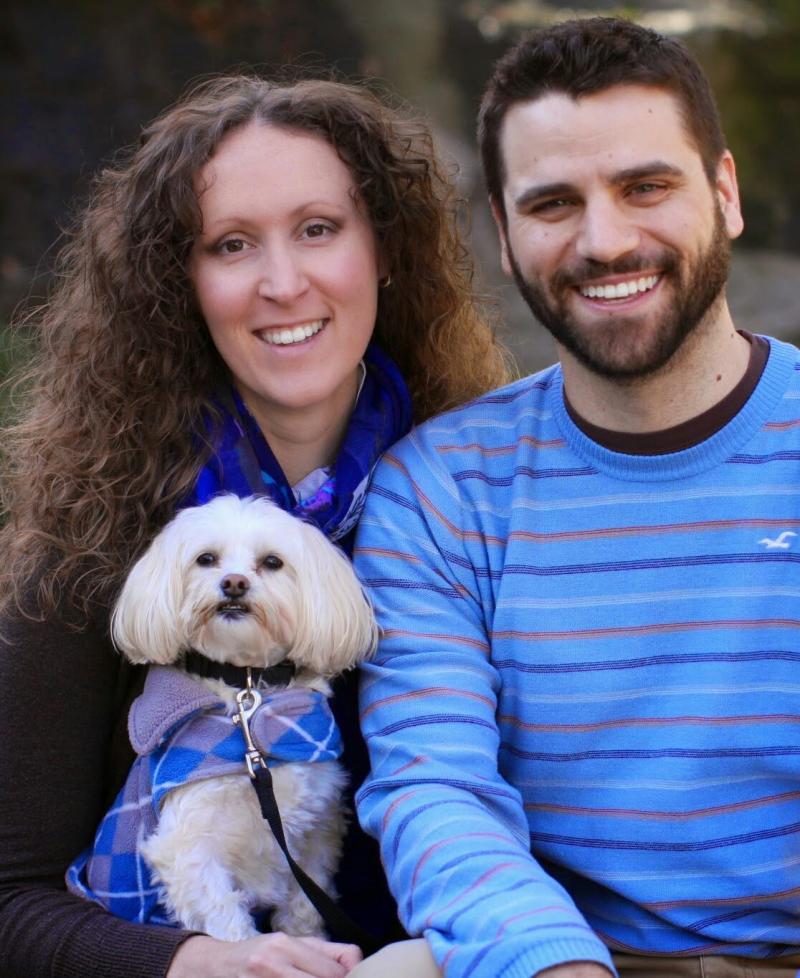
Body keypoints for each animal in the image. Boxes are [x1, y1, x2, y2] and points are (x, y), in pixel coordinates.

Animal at [83, 496, 380, 936]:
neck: (247, 689)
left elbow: (305, 909)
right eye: (206, 558)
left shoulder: (317, 832)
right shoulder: (187, 846)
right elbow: (227, 921)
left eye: (272, 562)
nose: (234, 583)